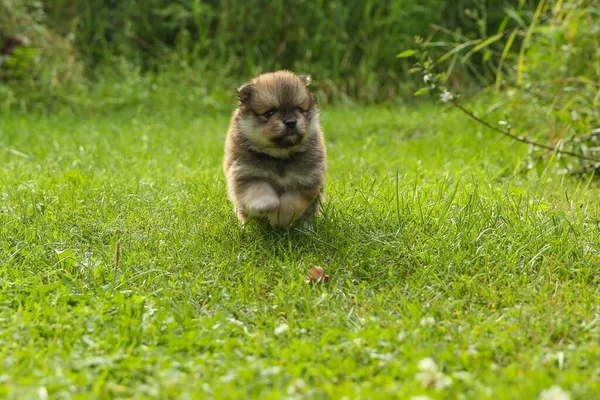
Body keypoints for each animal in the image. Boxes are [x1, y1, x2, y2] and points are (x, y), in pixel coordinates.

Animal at [225, 71, 328, 228]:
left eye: (299, 109)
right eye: (269, 113)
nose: (291, 122)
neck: (279, 155)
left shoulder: (306, 181)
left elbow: (292, 204)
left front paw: (278, 218)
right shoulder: (246, 173)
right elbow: (257, 191)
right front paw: (266, 205)